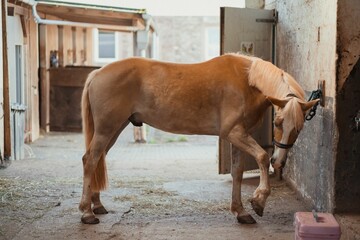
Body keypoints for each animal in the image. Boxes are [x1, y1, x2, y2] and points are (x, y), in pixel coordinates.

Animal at [78, 53, 318, 224]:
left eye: (298, 128)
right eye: (277, 122)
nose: (279, 161)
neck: (247, 81)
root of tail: (97, 74)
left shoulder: (239, 136)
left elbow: (238, 172)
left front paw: (240, 212)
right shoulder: (234, 133)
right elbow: (261, 157)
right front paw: (258, 201)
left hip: (113, 129)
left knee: (98, 159)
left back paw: (97, 205)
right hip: (106, 129)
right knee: (90, 160)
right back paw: (87, 213)